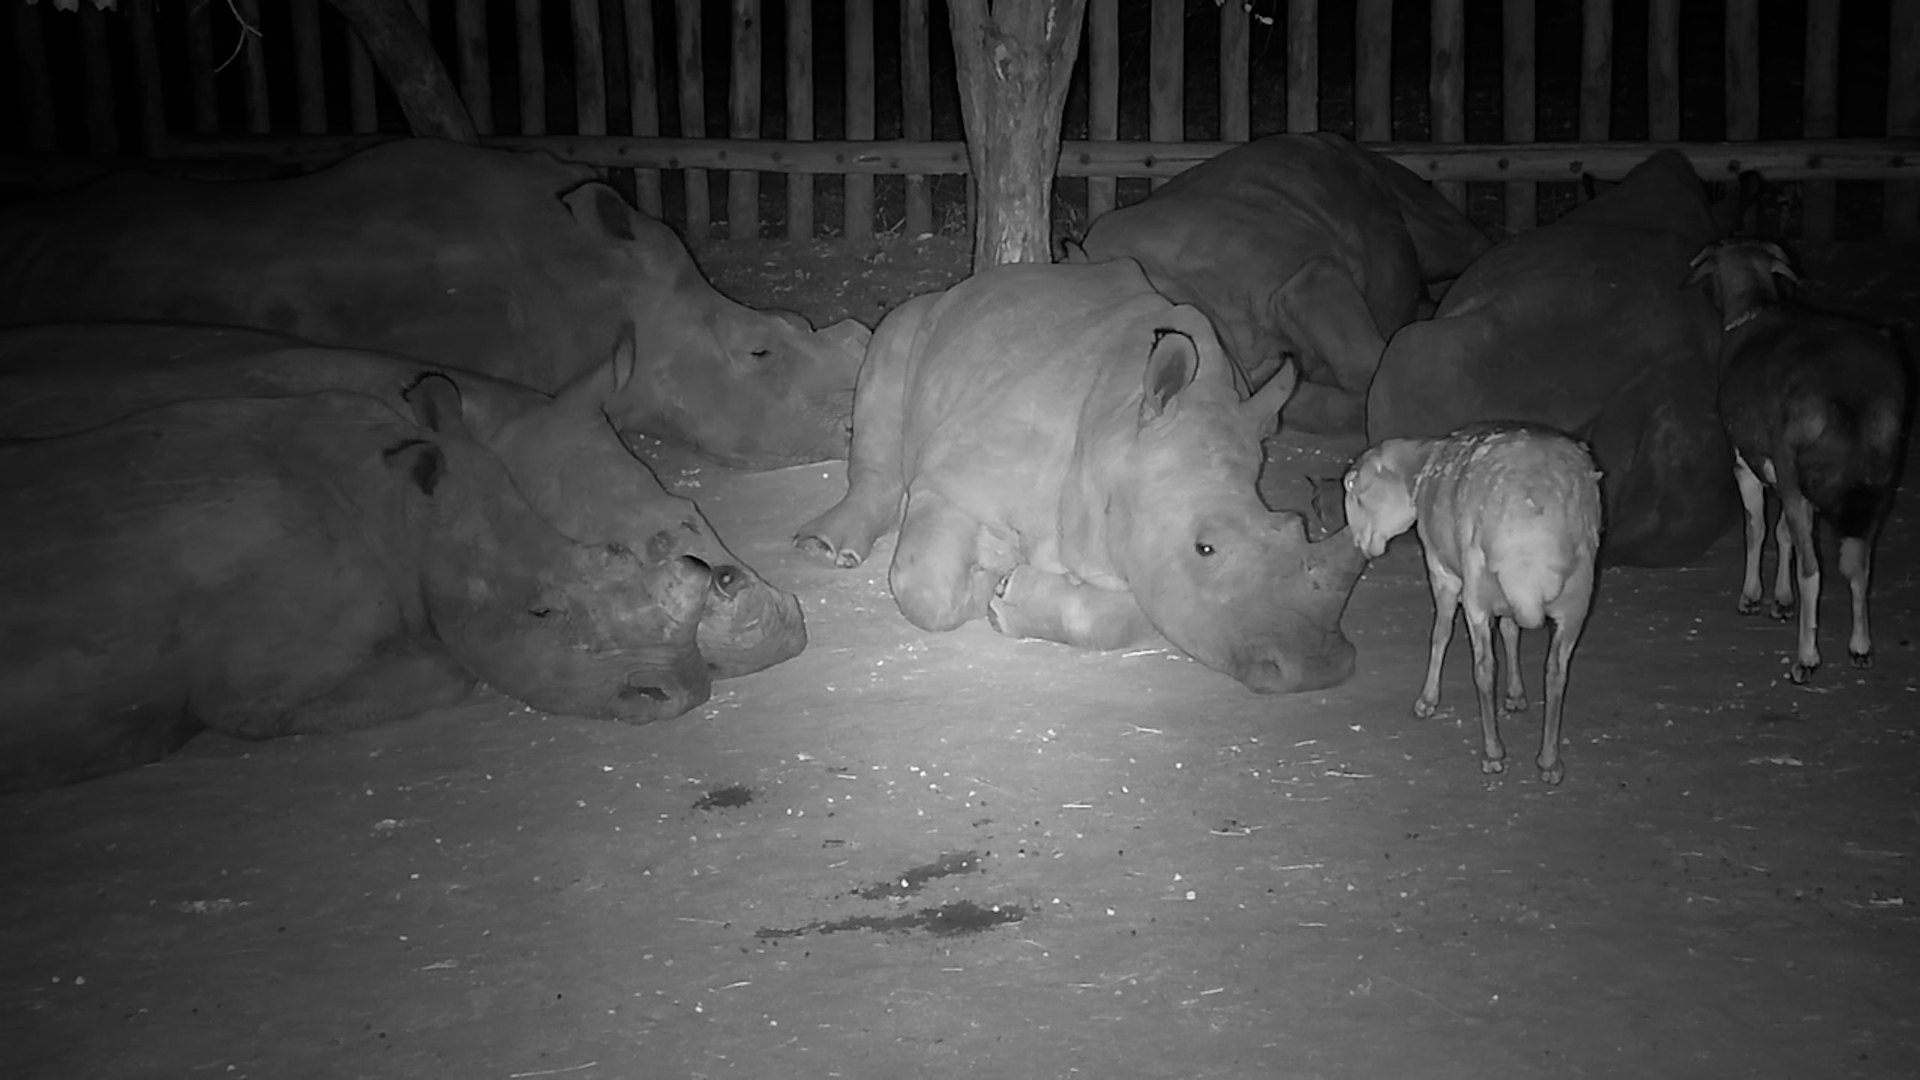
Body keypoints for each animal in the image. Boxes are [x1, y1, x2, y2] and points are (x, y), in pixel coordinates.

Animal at [795, 259, 1368, 694]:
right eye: (1205, 548)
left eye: (1295, 527)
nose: (1314, 669)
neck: (1117, 429)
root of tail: (969, 286)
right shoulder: (952, 481)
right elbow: (925, 587)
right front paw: (986, 577)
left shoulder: (1143, 557)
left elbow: (1125, 612)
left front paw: (1009, 594)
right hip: (917, 320)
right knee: (887, 358)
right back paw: (824, 548)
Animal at [1344, 422, 1603, 785]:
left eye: (1354, 490)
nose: (1359, 545)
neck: (1419, 467)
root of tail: (1532, 527)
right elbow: (1510, 632)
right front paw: (1516, 695)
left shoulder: (1441, 571)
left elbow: (1440, 635)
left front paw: (1427, 700)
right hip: (1578, 596)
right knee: (1555, 673)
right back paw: (1549, 761)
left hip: (1477, 591)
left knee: (1484, 668)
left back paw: (1493, 753)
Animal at [1687, 238, 1910, 683]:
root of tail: (1851, 388)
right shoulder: (1788, 478)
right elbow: (1785, 532)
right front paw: (1781, 600)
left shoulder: (1748, 461)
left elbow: (1757, 527)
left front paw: (1753, 596)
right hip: (1879, 481)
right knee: (1859, 562)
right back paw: (1860, 646)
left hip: (1799, 473)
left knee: (1814, 569)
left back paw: (1806, 658)